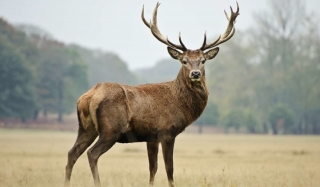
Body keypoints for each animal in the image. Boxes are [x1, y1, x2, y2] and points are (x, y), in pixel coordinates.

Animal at [63, 1, 239, 187]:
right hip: (111, 129)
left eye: (203, 60)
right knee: (92, 153)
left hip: (86, 128)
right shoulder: (167, 131)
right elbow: (169, 168)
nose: (196, 73)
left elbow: (152, 168)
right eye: (184, 61)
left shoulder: (151, 137)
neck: (181, 104)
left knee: (72, 153)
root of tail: (88, 97)